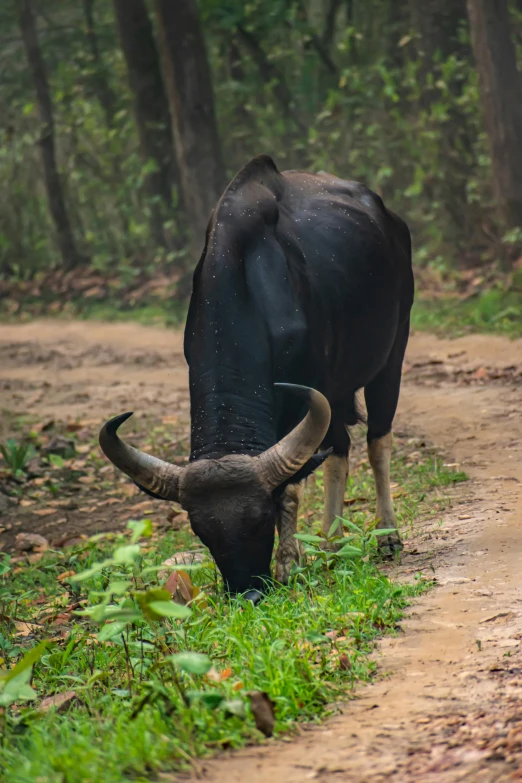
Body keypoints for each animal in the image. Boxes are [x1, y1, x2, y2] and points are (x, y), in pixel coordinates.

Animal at [99, 156, 412, 604]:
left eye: (260, 519)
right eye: (202, 531)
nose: (246, 594)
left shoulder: (305, 396)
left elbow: (293, 487)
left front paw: (288, 564)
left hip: (392, 351)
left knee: (376, 442)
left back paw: (387, 534)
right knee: (339, 451)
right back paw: (332, 543)